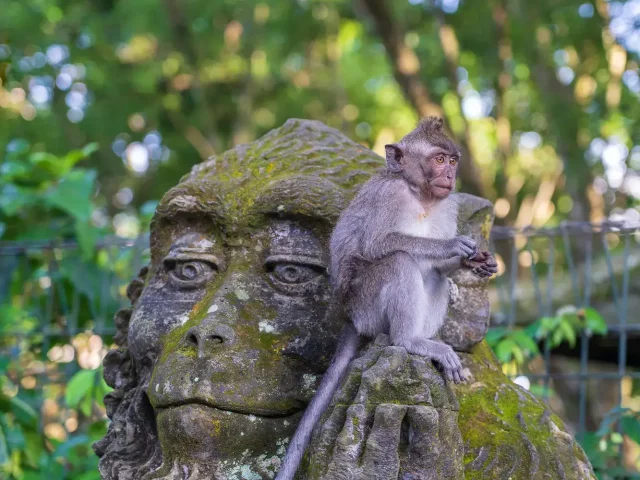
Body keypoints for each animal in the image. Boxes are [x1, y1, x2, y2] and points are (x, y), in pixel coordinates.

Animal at [275, 117, 498, 480]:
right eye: (439, 160)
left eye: (453, 161)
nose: (450, 175)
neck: (421, 197)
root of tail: (352, 318)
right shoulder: (389, 196)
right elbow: (376, 244)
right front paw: (451, 247)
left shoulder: (448, 205)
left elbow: (440, 268)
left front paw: (477, 263)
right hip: (367, 305)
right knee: (398, 261)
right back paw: (410, 341)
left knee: (433, 276)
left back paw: (427, 340)